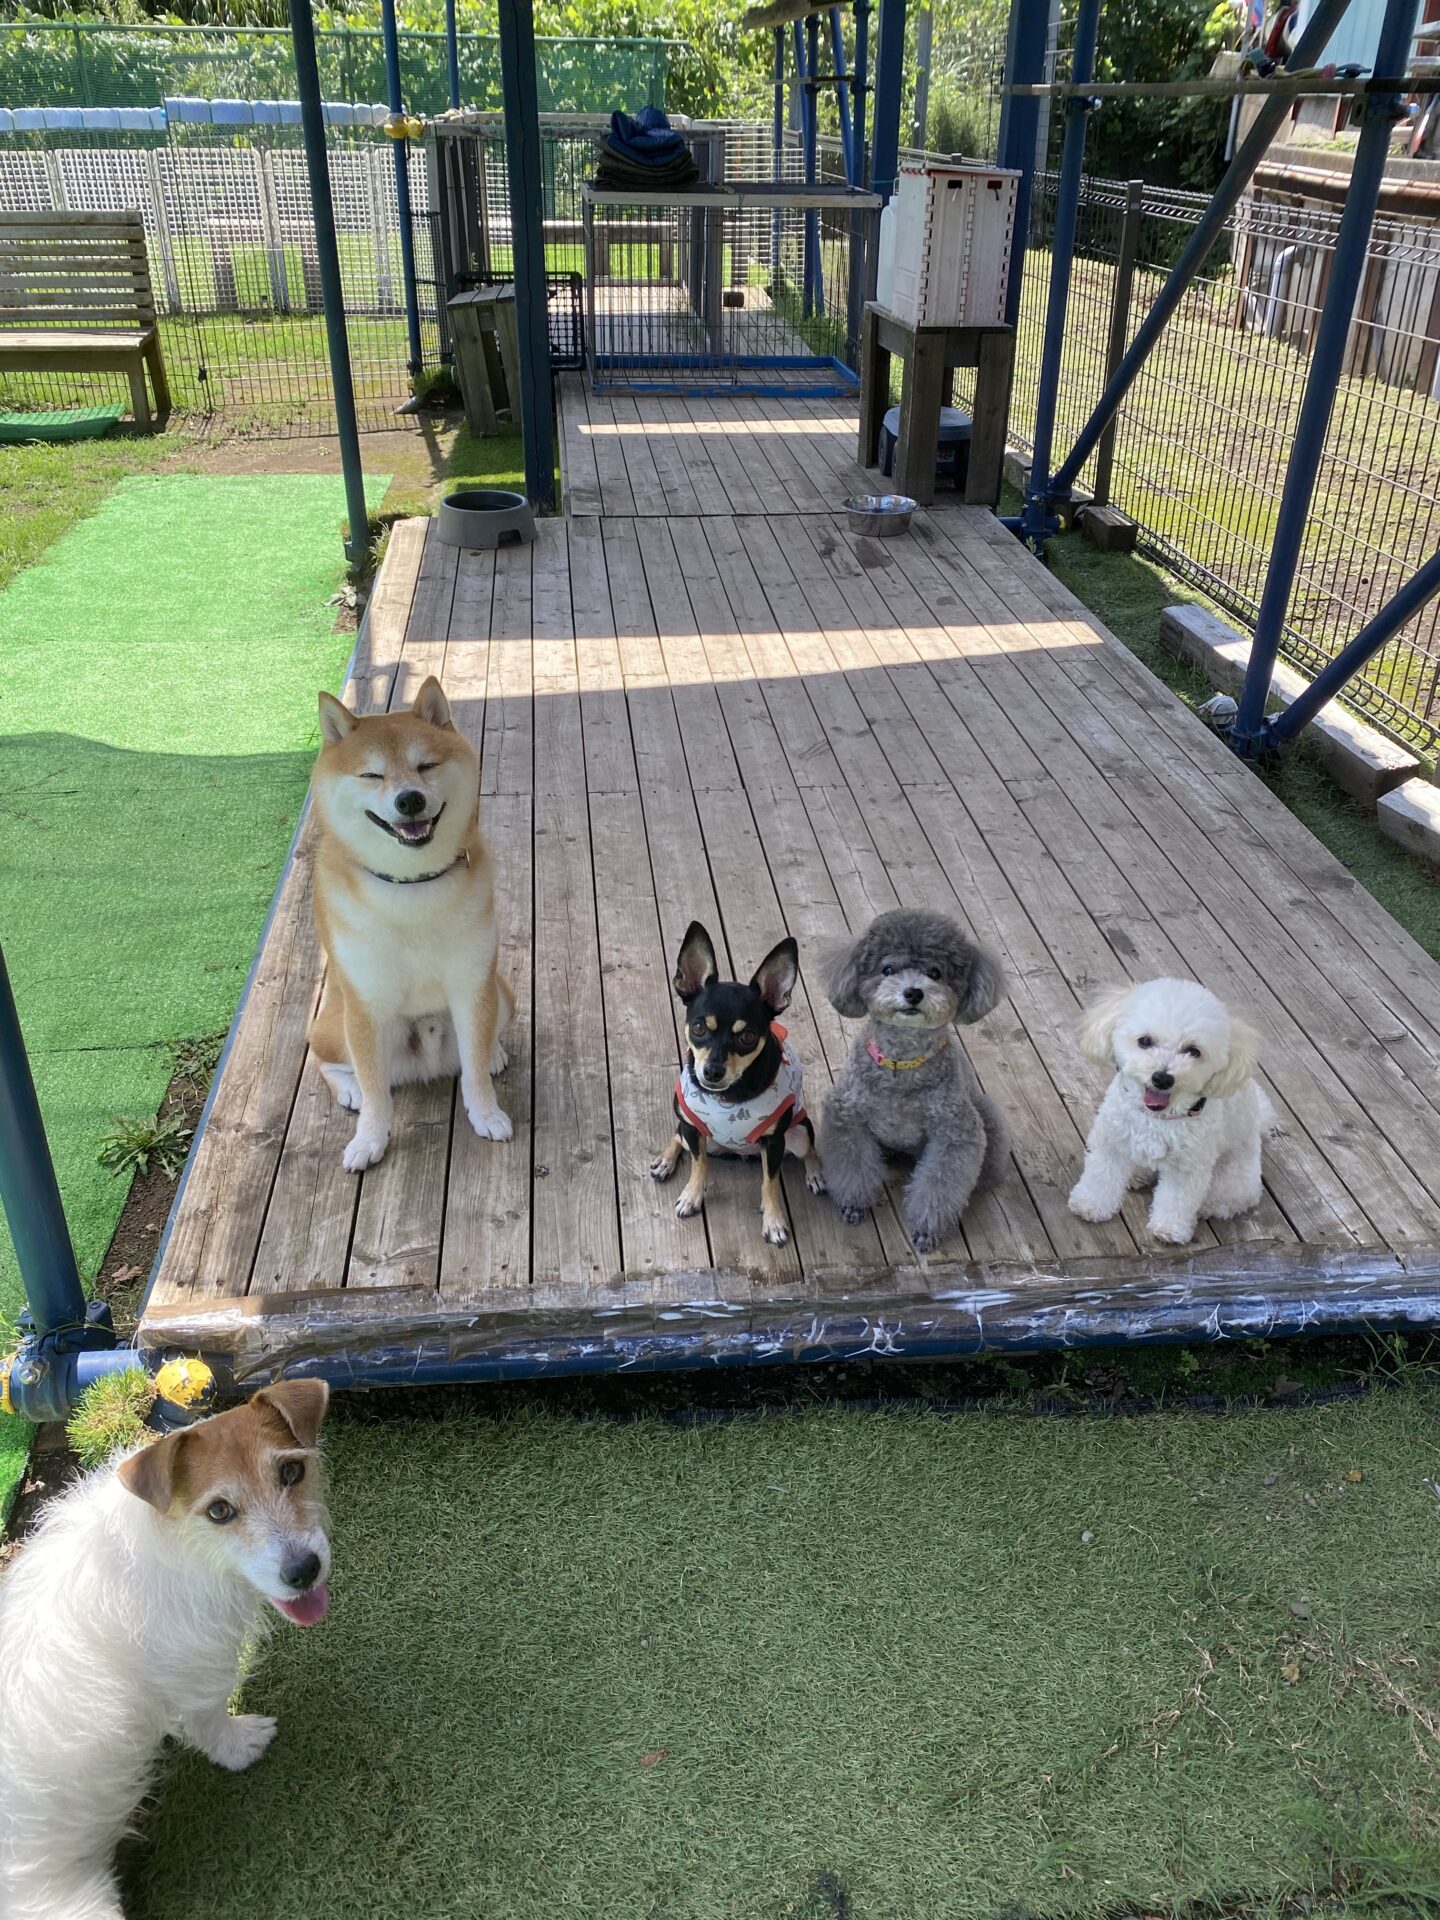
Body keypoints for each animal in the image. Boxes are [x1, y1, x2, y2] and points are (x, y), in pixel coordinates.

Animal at [0, 1380, 331, 1920]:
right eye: (219, 1511)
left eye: (291, 1472)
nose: (304, 1570)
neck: (178, 1542)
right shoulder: (197, 1675)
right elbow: (211, 1721)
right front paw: (241, 1746)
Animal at [308, 676, 513, 1171]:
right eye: (371, 775)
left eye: (427, 765)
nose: (410, 798)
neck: (410, 885)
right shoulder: (365, 1003)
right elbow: (376, 1092)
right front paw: (369, 1140)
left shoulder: (473, 984)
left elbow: (473, 1070)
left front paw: (486, 1113)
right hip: (335, 1026)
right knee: (327, 1060)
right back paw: (348, 1090)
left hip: (502, 992)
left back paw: (496, 1052)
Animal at [650, 921, 825, 1247]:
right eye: (698, 1028)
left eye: (747, 1037)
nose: (712, 1070)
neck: (729, 1097)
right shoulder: (694, 1128)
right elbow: (700, 1165)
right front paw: (692, 1196)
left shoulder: (775, 1142)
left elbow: (769, 1183)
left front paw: (774, 1221)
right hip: (698, 1133)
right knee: (678, 1134)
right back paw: (665, 1161)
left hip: (798, 1133)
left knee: (809, 1150)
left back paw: (816, 1173)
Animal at [818, 908, 1009, 1254]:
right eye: (888, 969)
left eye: (935, 972)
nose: (913, 992)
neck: (902, 1064)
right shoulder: (846, 1117)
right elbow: (853, 1168)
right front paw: (854, 1205)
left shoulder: (956, 1134)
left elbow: (939, 1186)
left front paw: (926, 1230)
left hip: (986, 1117)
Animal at [1067, 976, 1274, 1246]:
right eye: (1145, 1041)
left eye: (1193, 1051)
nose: (1162, 1078)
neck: (1157, 1118)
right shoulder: (1111, 1143)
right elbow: (1100, 1176)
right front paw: (1089, 1205)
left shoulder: (1187, 1168)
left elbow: (1176, 1200)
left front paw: (1169, 1229)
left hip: (1235, 1179)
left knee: (1225, 1201)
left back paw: (1206, 1208)